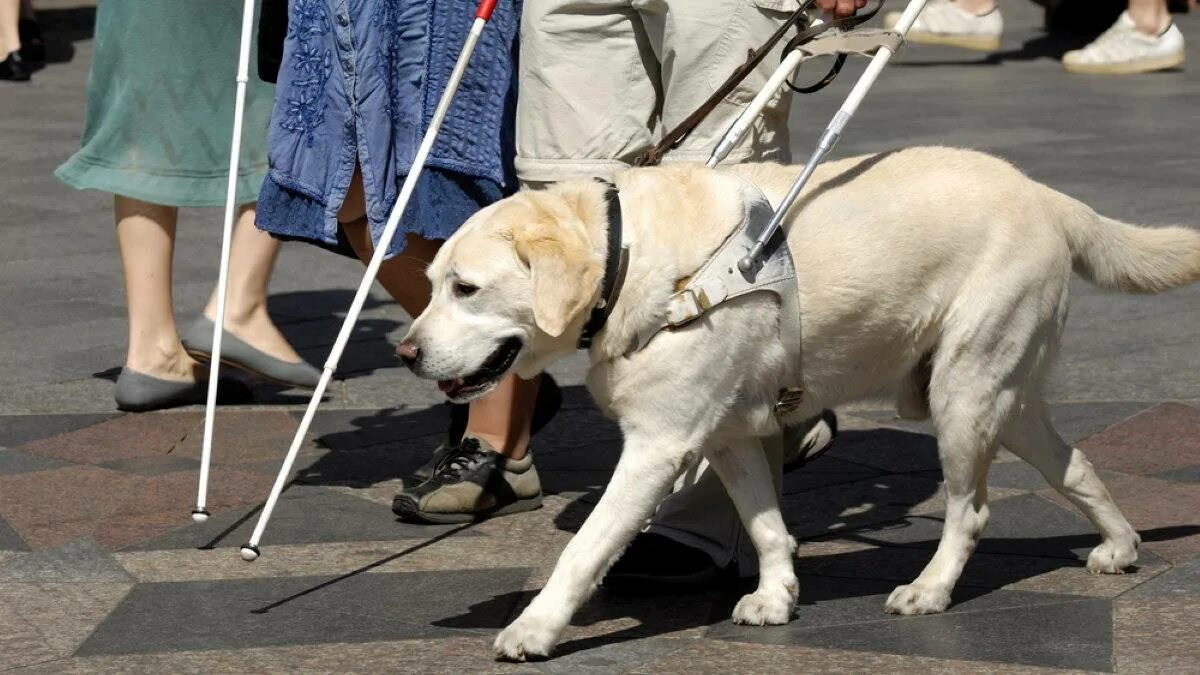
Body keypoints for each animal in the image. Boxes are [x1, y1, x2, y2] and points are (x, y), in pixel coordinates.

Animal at [396, 147, 1200, 658]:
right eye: (431, 284)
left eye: (467, 288)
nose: (405, 352)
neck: (633, 261)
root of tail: (1046, 194)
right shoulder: (726, 435)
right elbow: (767, 526)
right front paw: (779, 596)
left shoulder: (658, 445)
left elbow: (584, 547)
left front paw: (535, 629)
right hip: (1007, 398)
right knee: (1076, 464)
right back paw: (1120, 546)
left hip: (964, 394)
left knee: (970, 510)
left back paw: (930, 589)